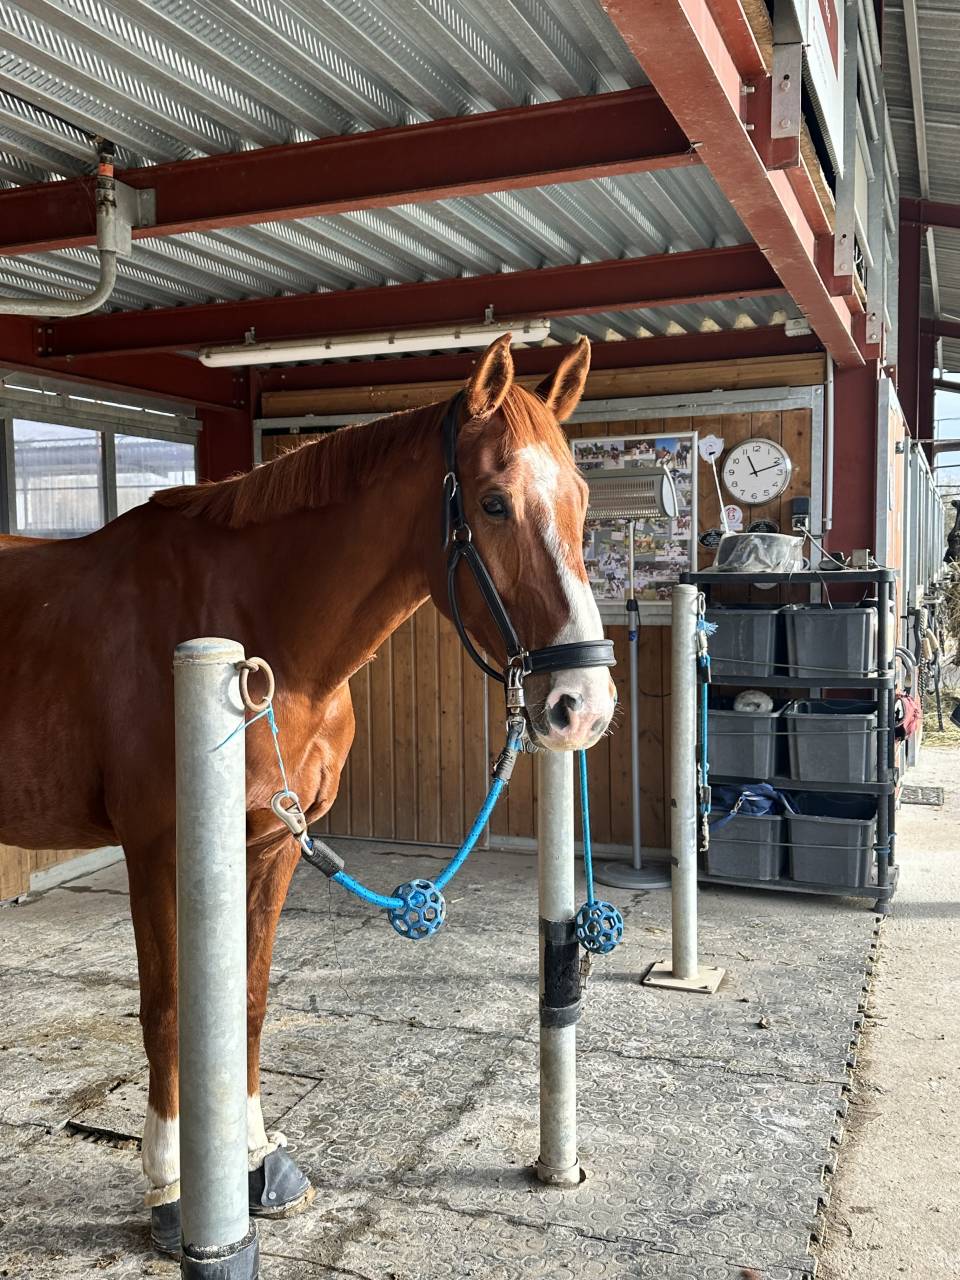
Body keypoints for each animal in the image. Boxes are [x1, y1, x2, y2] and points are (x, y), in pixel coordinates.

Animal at [0, 332, 616, 1249]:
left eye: (580, 498)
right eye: (495, 503)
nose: (584, 706)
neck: (256, 634)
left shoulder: (272, 847)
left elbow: (248, 1000)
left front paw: (254, 1160)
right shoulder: (158, 851)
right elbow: (170, 1009)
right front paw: (171, 1182)